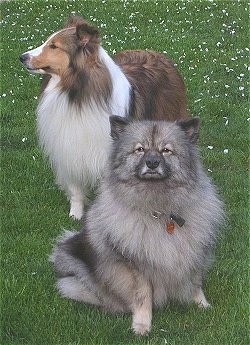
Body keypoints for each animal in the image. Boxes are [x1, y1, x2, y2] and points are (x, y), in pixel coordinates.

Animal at [20, 15, 189, 218]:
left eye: (54, 46)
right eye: (48, 42)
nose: (22, 57)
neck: (76, 94)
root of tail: (159, 54)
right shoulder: (69, 148)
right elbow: (75, 189)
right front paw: (75, 215)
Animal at [49, 115, 224, 334]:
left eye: (166, 150)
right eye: (140, 149)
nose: (152, 163)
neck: (159, 210)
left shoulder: (193, 252)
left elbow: (195, 281)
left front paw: (202, 304)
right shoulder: (136, 264)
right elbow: (143, 295)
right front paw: (141, 325)